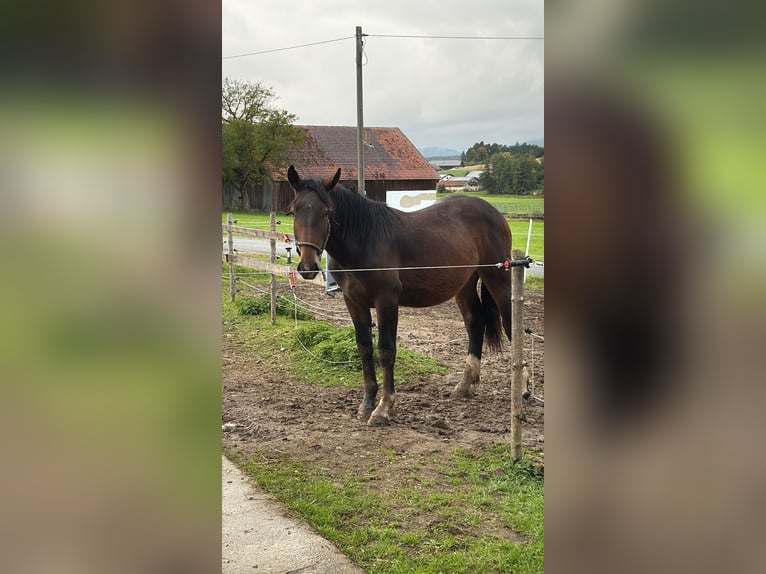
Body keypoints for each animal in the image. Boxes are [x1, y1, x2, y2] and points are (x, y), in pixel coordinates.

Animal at [287, 165, 513, 426]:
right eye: (294, 210)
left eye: (327, 212)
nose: (308, 266)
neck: (365, 240)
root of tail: (493, 212)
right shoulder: (354, 302)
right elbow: (364, 348)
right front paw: (367, 403)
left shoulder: (386, 301)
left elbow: (386, 351)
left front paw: (384, 408)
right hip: (464, 285)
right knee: (475, 322)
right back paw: (465, 385)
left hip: (499, 280)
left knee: (511, 326)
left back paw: (524, 389)